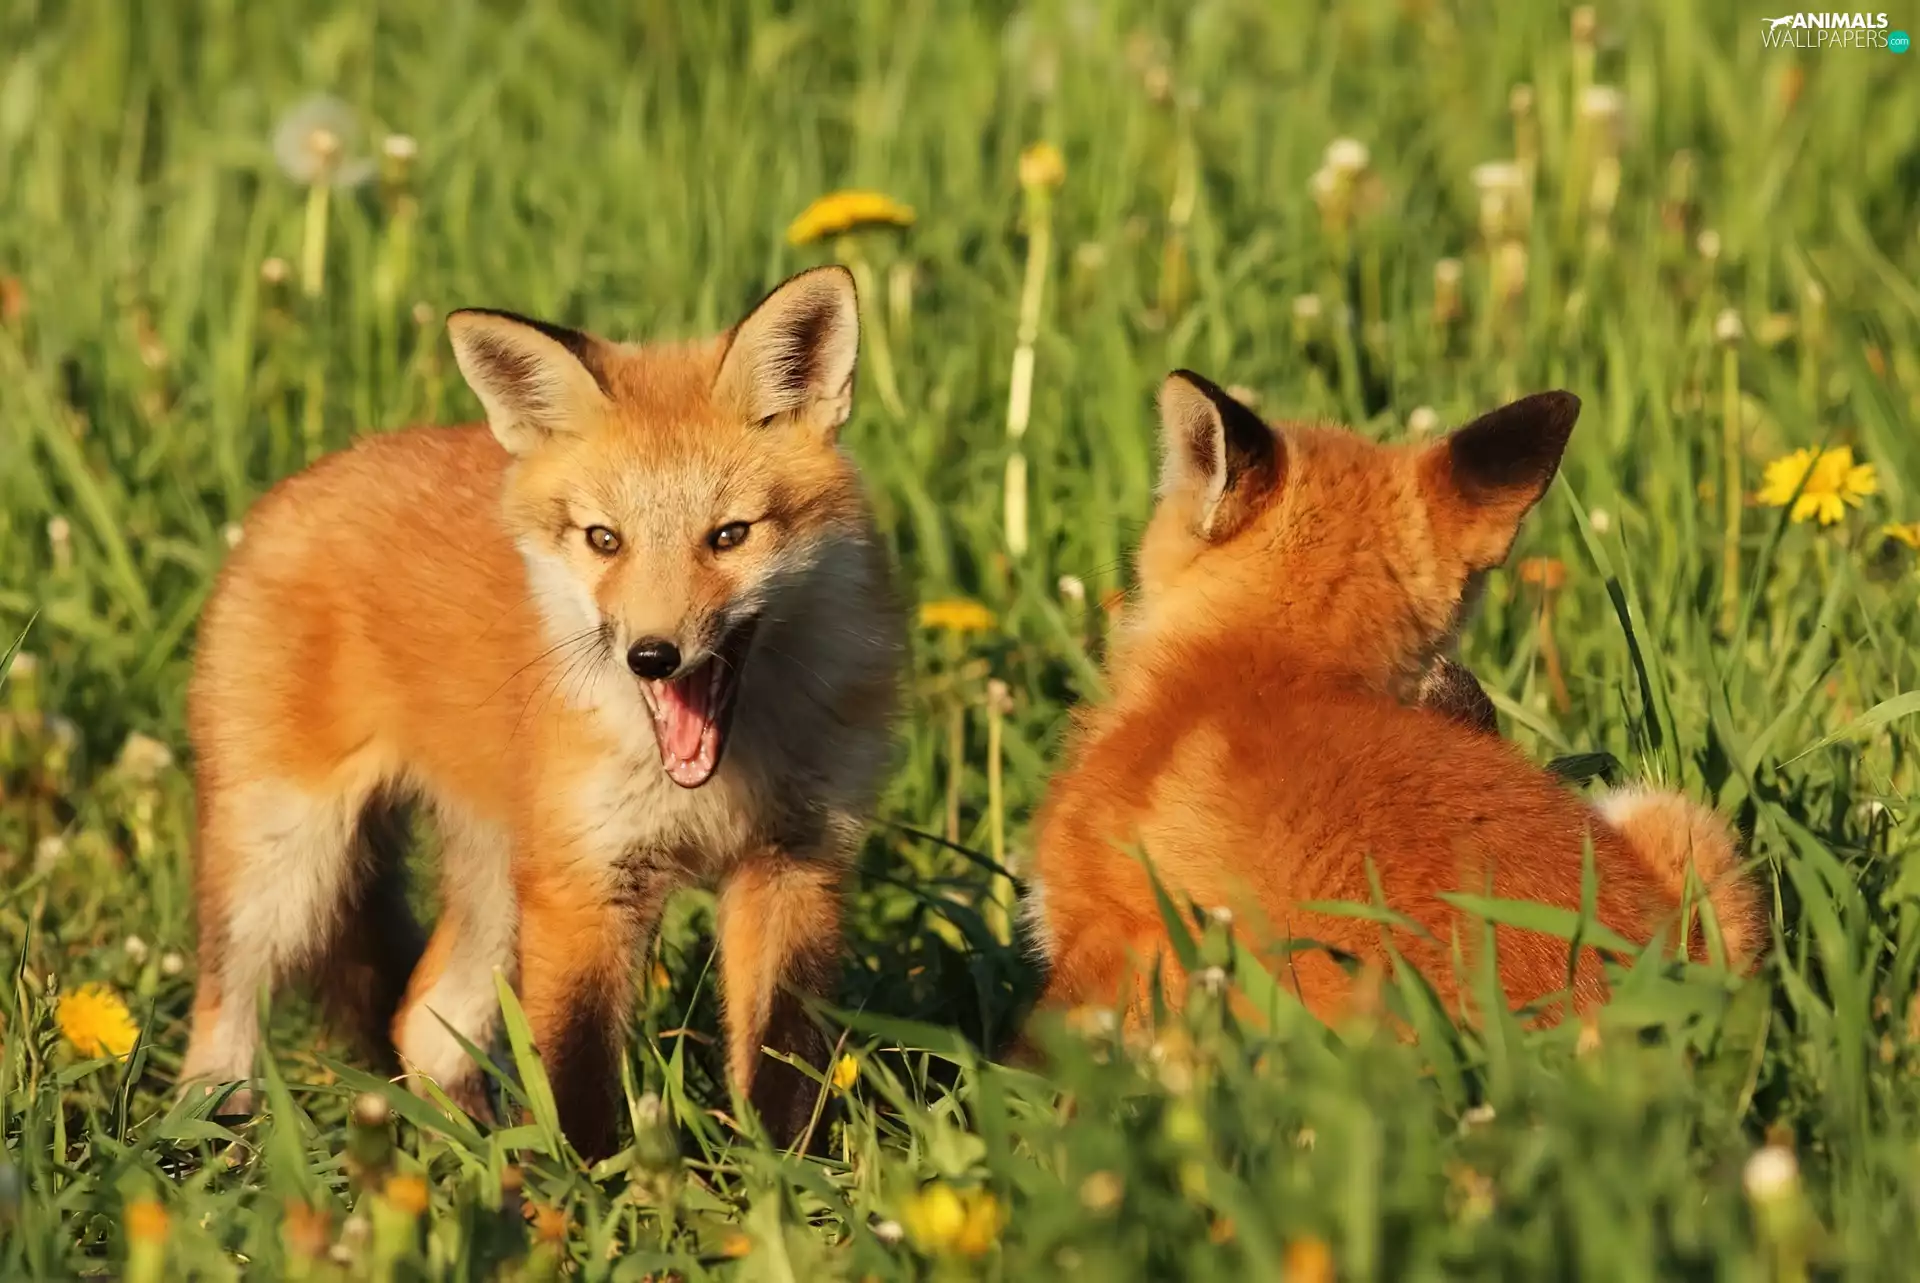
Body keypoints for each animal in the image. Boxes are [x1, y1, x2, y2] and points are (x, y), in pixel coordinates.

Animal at [178, 266, 902, 1159]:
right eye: (604, 539)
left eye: (729, 535)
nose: (652, 655)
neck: (725, 774)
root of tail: (303, 479)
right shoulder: (584, 882)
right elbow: (576, 1073)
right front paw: (585, 1189)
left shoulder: (795, 865)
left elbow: (781, 1066)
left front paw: (781, 1177)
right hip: (286, 861)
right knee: (223, 1012)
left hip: (495, 877)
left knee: (423, 1018)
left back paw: (467, 1149)